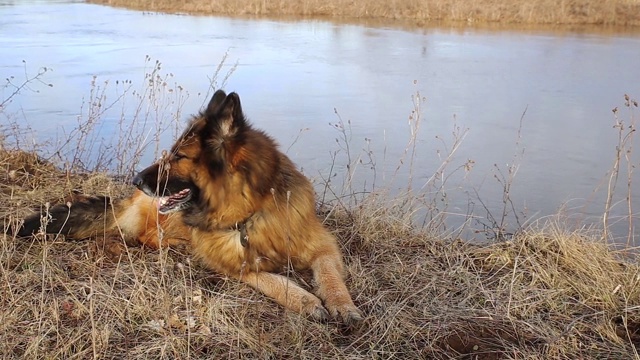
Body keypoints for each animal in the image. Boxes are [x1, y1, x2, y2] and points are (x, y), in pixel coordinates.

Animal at [17, 90, 362, 324]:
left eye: (179, 156)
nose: (135, 179)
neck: (250, 213)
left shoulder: (322, 246)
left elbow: (330, 274)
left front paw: (343, 305)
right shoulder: (235, 264)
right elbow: (273, 280)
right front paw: (305, 300)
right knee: (147, 236)